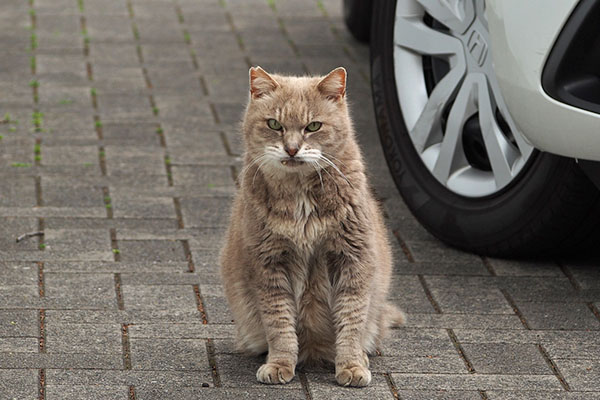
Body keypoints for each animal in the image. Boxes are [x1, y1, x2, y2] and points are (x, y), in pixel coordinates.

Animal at [218, 66, 406, 388]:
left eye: (313, 126)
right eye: (274, 124)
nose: (292, 149)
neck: (301, 198)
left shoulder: (353, 260)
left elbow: (351, 321)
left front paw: (352, 366)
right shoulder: (269, 265)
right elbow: (280, 325)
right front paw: (280, 364)